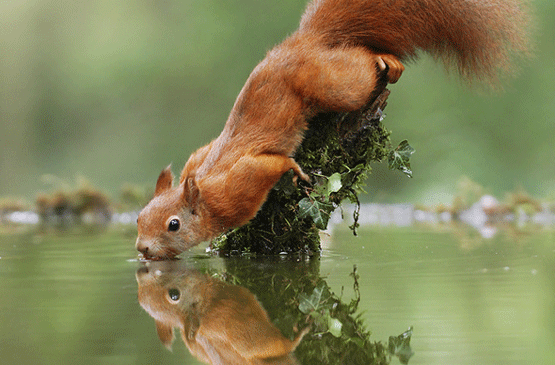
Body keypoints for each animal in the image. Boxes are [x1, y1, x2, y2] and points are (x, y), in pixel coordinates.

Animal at [135, 0, 528, 258]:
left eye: (173, 225)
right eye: (138, 217)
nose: (141, 248)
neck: (203, 190)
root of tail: (308, 40)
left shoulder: (240, 185)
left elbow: (274, 163)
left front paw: (295, 171)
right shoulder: (198, 157)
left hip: (334, 83)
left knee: (361, 66)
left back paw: (385, 60)